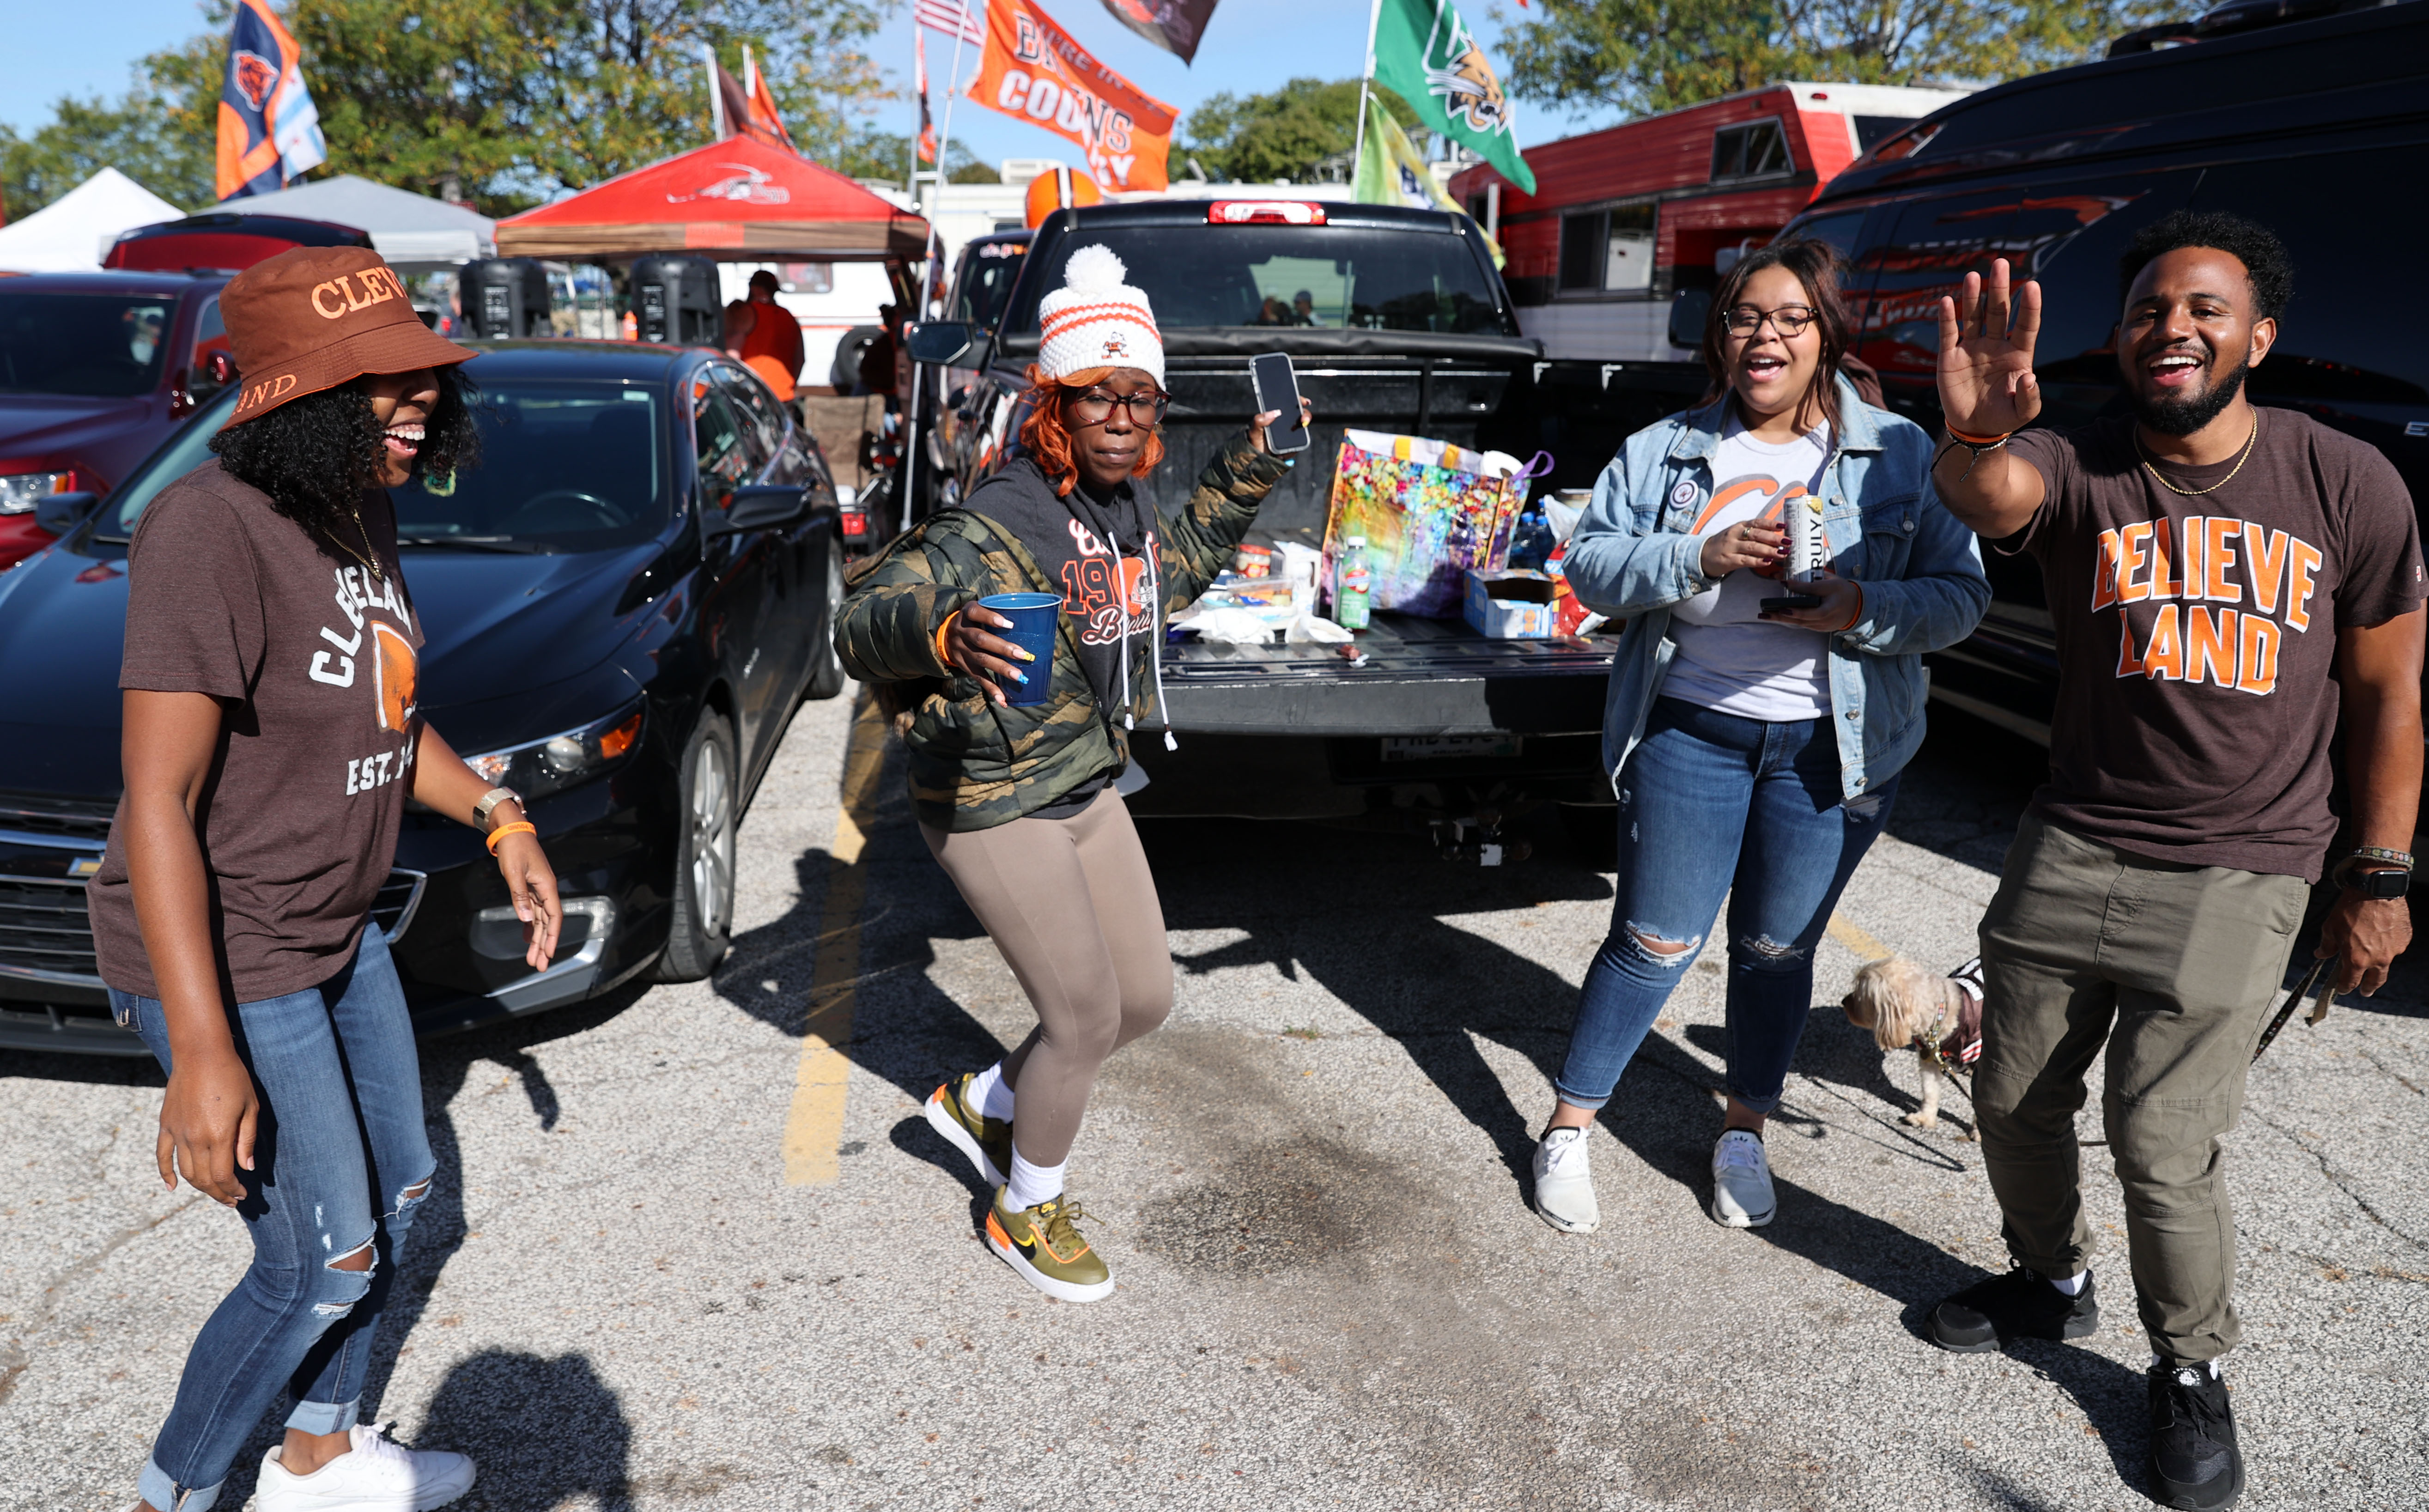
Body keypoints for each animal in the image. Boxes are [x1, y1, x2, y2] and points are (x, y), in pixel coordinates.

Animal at [1846, 953, 1982, 1133]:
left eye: (1860, 994)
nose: (1844, 1002)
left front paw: (1979, 1132)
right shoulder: (1931, 1060)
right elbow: (1930, 1091)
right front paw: (1925, 1118)